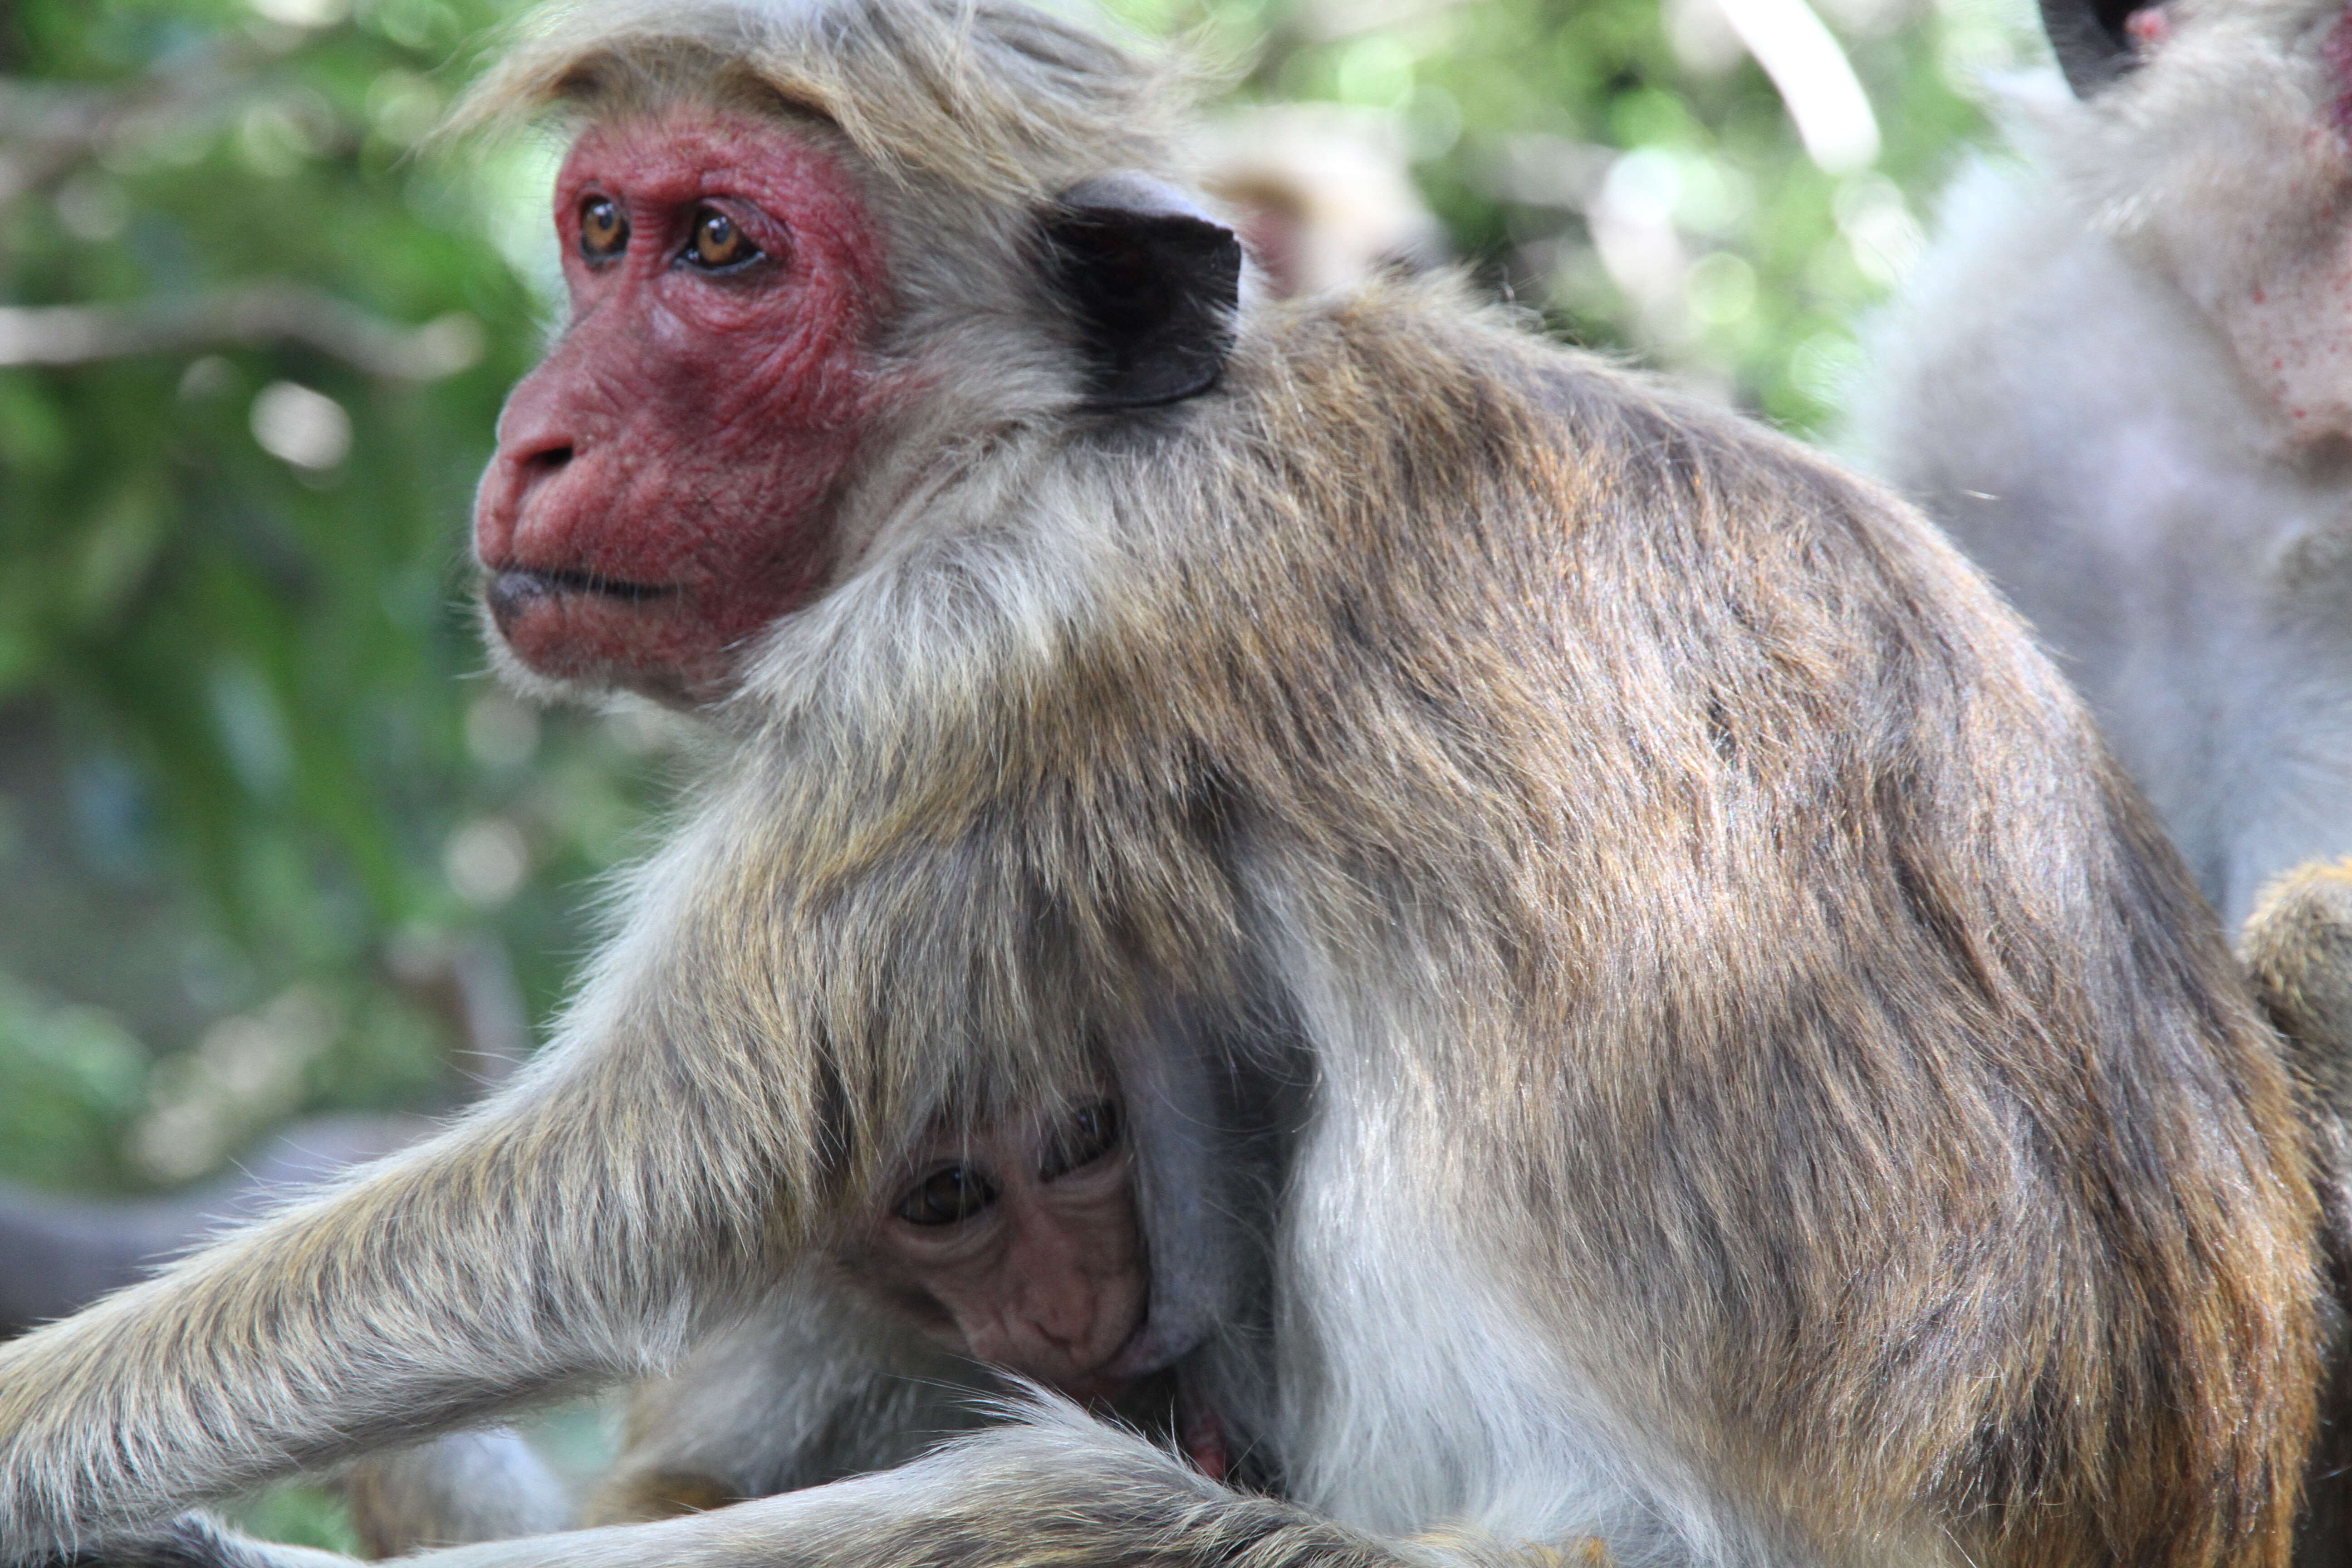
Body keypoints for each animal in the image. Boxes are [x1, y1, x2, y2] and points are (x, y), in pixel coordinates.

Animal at [0, 3, 2323, 1568]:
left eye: (727, 252)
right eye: (601, 232)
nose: (537, 435)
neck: (1072, 434)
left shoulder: (990, 652)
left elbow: (623, 1177)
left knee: (1055, 1503)